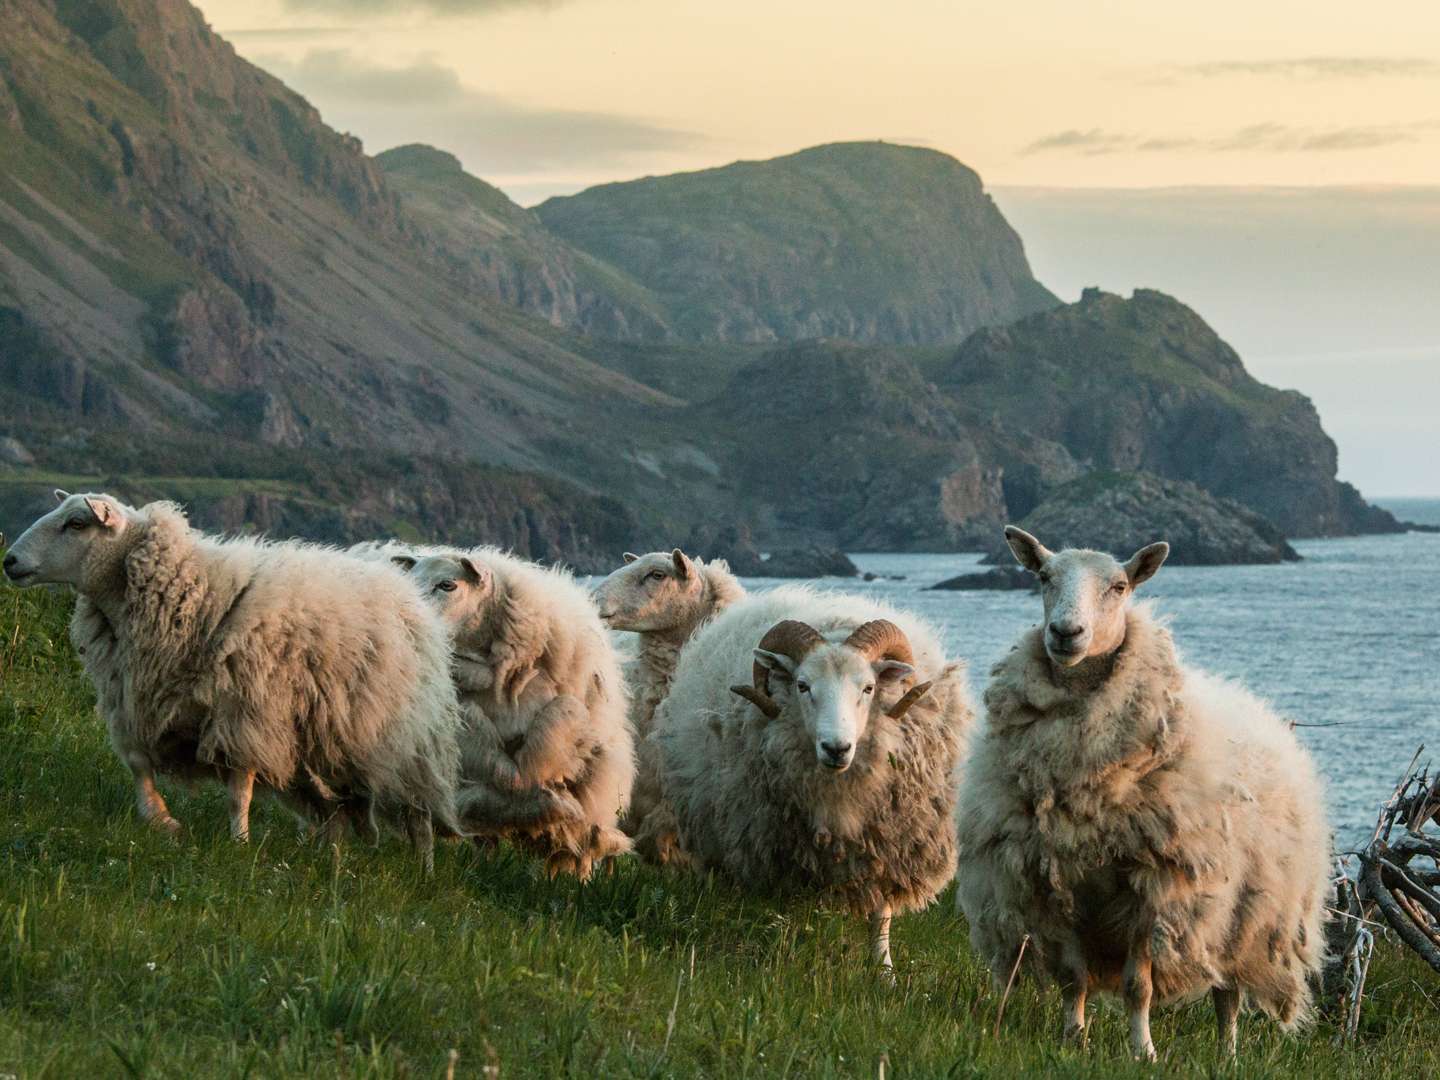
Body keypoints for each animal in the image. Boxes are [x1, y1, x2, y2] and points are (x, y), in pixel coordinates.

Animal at [1, 492, 463, 869]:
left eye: (76, 523)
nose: (9, 561)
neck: (190, 589)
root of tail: (408, 595)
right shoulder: (141, 701)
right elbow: (137, 763)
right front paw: (160, 818)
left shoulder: (245, 712)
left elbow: (239, 789)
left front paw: (238, 845)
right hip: (315, 743)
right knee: (332, 809)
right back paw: (327, 857)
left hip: (409, 743)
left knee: (420, 813)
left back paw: (422, 870)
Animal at [655, 585, 972, 974]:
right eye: (803, 686)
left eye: (868, 688)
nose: (837, 748)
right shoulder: (780, 850)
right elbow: (784, 910)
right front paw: (783, 956)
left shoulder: (887, 845)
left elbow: (880, 915)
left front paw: (884, 971)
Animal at [954, 527, 1330, 1060]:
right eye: (1043, 577)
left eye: (1119, 587)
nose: (1065, 633)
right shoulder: (1058, 885)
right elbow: (1073, 980)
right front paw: (1073, 1039)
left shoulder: (1153, 889)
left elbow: (1139, 987)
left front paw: (1143, 1050)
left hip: (1246, 916)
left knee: (1228, 993)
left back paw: (1228, 1052)